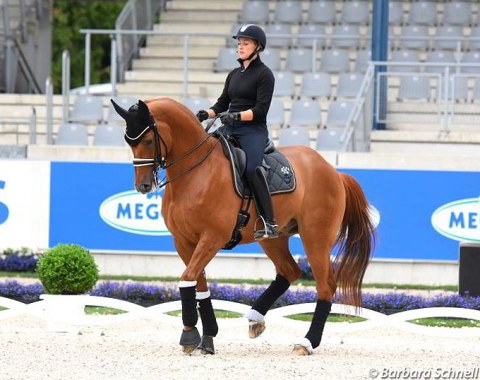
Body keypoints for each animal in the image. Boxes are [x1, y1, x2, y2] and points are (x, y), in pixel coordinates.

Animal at [111, 97, 376, 356]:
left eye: (147, 140)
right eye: (128, 141)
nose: (143, 186)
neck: (196, 173)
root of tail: (334, 171)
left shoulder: (212, 238)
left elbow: (187, 279)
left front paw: (190, 336)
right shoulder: (184, 240)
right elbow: (198, 284)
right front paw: (206, 338)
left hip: (315, 238)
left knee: (325, 285)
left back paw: (307, 342)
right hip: (273, 238)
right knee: (289, 271)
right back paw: (256, 319)